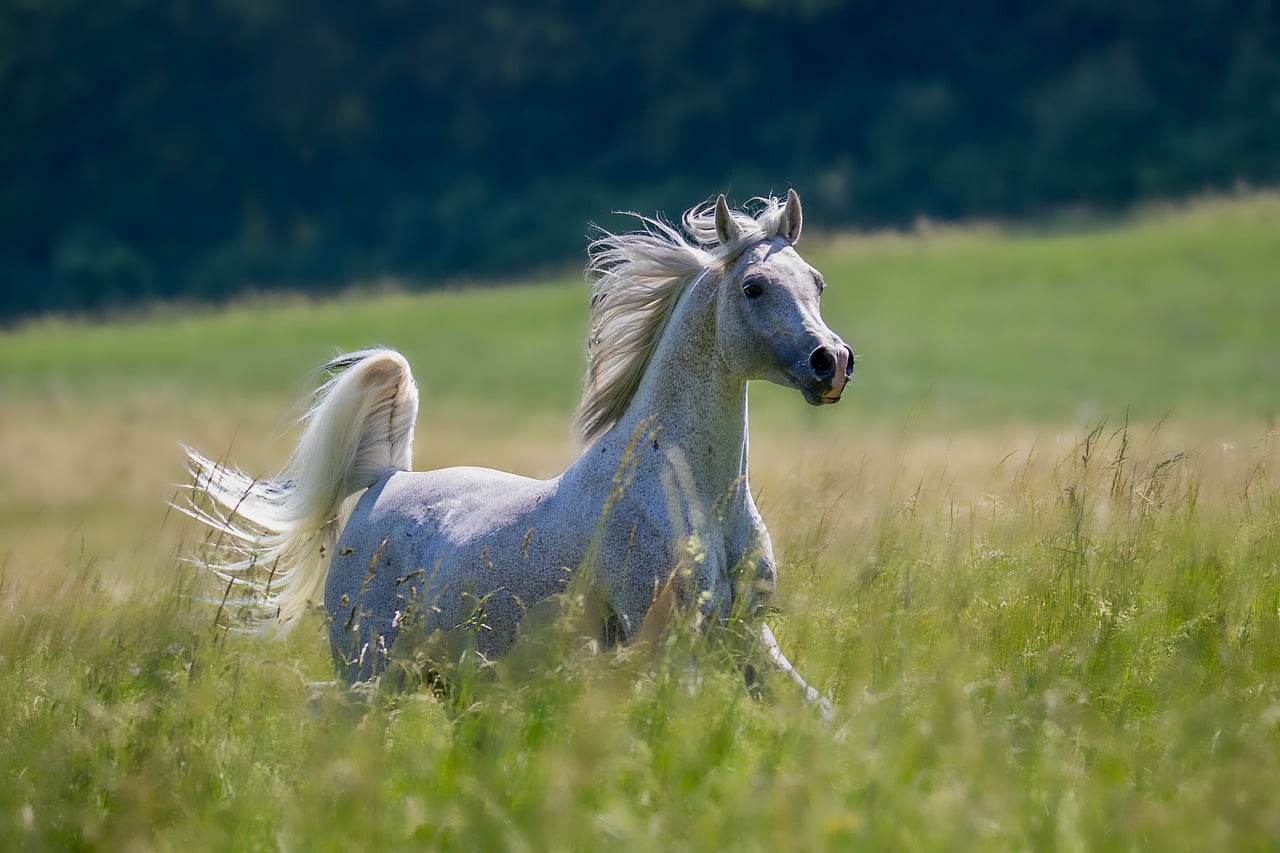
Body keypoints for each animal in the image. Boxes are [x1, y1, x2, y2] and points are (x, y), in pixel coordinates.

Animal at [181, 190, 853, 714]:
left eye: (818, 282)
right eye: (754, 287)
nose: (832, 362)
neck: (687, 493)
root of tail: (385, 481)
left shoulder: (746, 638)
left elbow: (818, 715)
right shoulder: (667, 642)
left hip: (449, 680)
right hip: (369, 670)